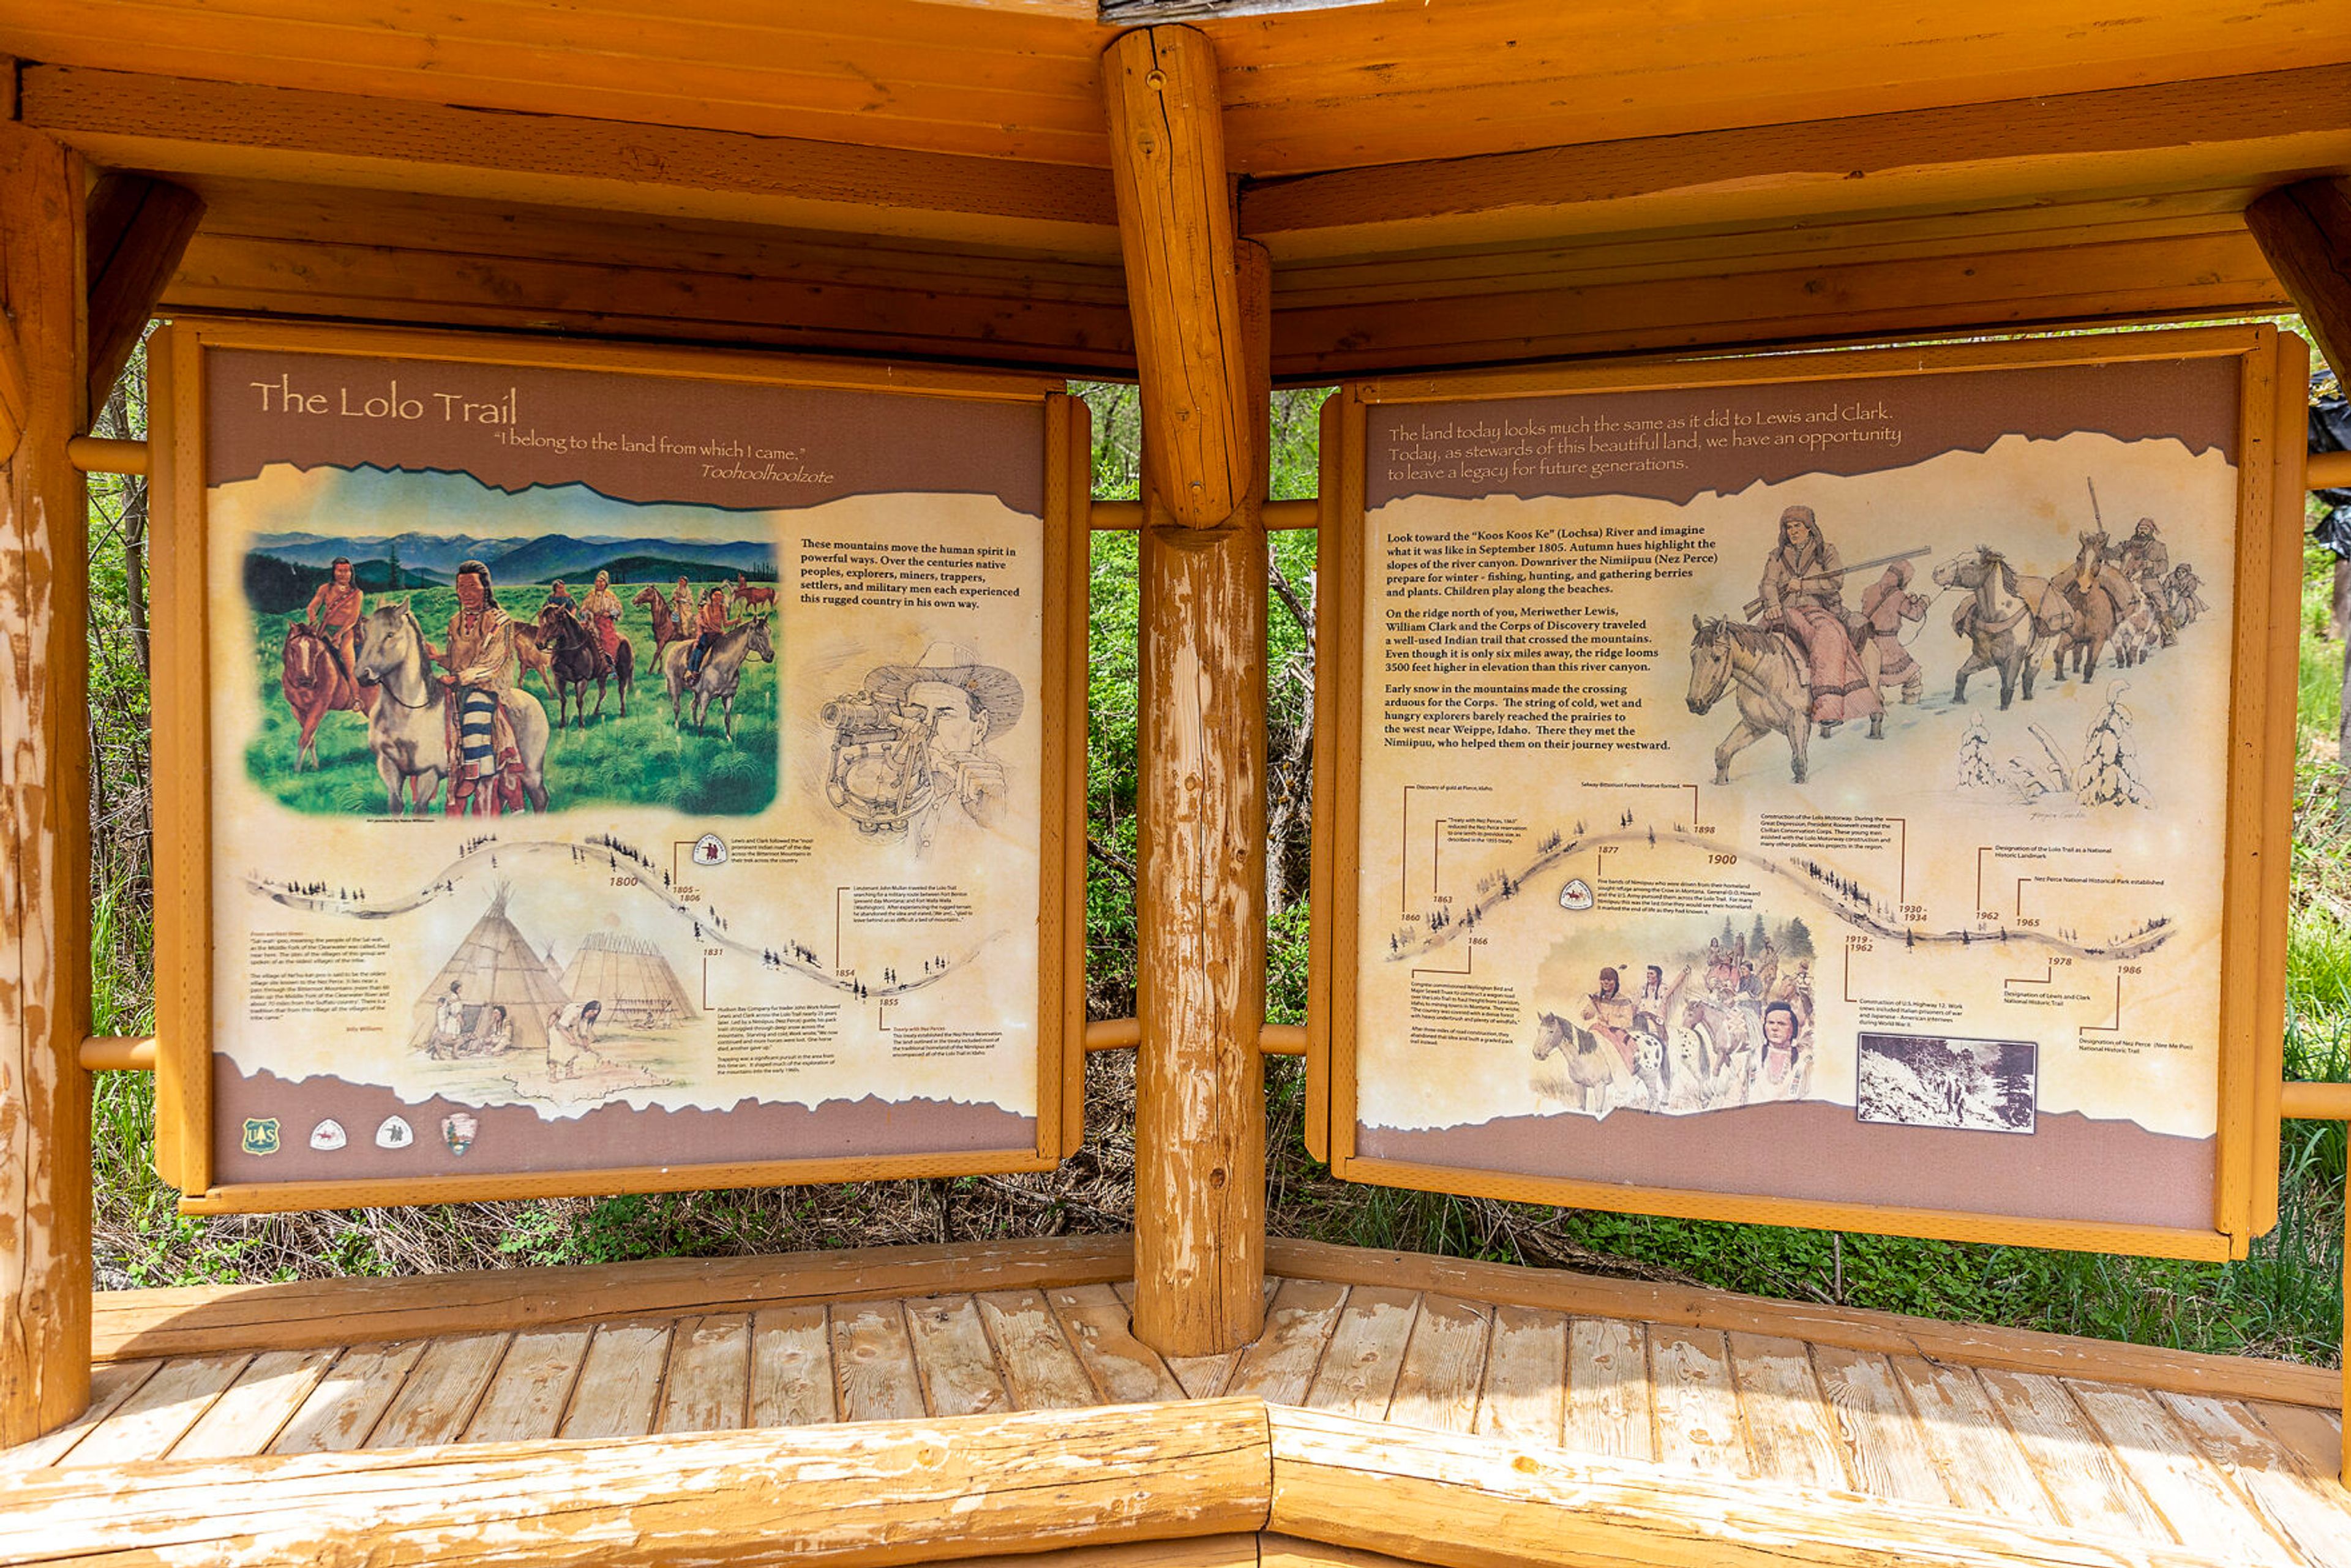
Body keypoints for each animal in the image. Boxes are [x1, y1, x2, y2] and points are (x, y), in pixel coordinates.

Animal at [285, 625, 381, 771]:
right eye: (293, 648)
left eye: (316, 650)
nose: (306, 679)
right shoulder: (297, 709)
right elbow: (310, 738)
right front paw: (315, 767)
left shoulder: (319, 707)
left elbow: (305, 738)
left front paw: (296, 771)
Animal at [350, 601, 552, 818]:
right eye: (366, 632)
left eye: (390, 634)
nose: (362, 675)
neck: (410, 713)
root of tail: (533, 701)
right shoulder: (388, 766)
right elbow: (396, 806)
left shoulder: (428, 773)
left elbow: (420, 810)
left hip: (531, 771)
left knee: (540, 799)